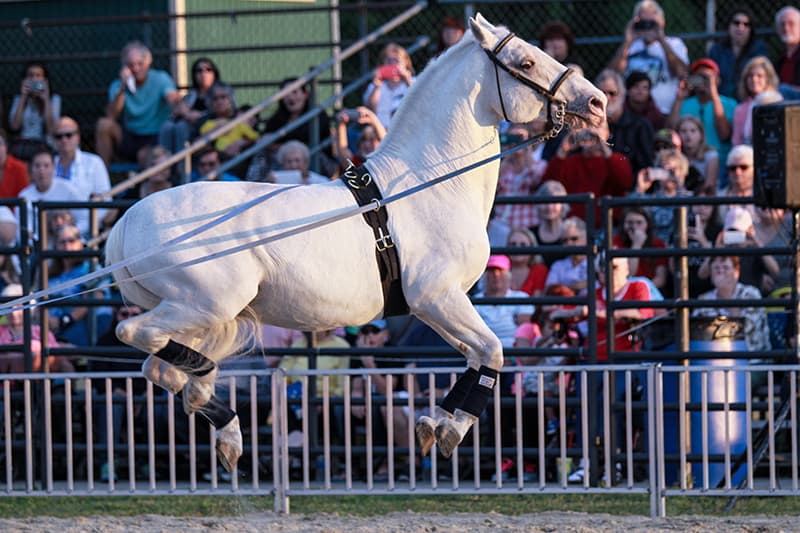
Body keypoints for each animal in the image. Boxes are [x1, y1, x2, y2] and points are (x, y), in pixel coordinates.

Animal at [104, 14, 606, 472]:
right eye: (526, 61)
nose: (597, 102)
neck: (426, 183)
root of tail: (125, 224)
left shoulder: (438, 305)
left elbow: (478, 355)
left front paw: (432, 424)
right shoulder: (436, 298)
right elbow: (490, 352)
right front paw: (447, 430)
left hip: (203, 312)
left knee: (157, 366)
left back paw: (222, 426)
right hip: (204, 304)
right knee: (137, 337)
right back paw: (211, 397)